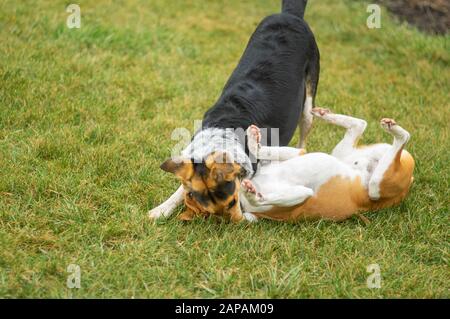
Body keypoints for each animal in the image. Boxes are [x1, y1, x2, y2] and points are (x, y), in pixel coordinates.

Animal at [151, 0, 320, 222]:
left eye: (231, 202)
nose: (234, 218)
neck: (224, 129)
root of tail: (290, 15)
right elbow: (182, 185)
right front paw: (162, 209)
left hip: (309, 102)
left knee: (304, 134)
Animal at [239, 107, 414, 222]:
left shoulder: (299, 160)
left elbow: (263, 153)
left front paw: (254, 141)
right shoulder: (301, 186)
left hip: (377, 186)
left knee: (402, 137)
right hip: (354, 161)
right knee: (361, 125)